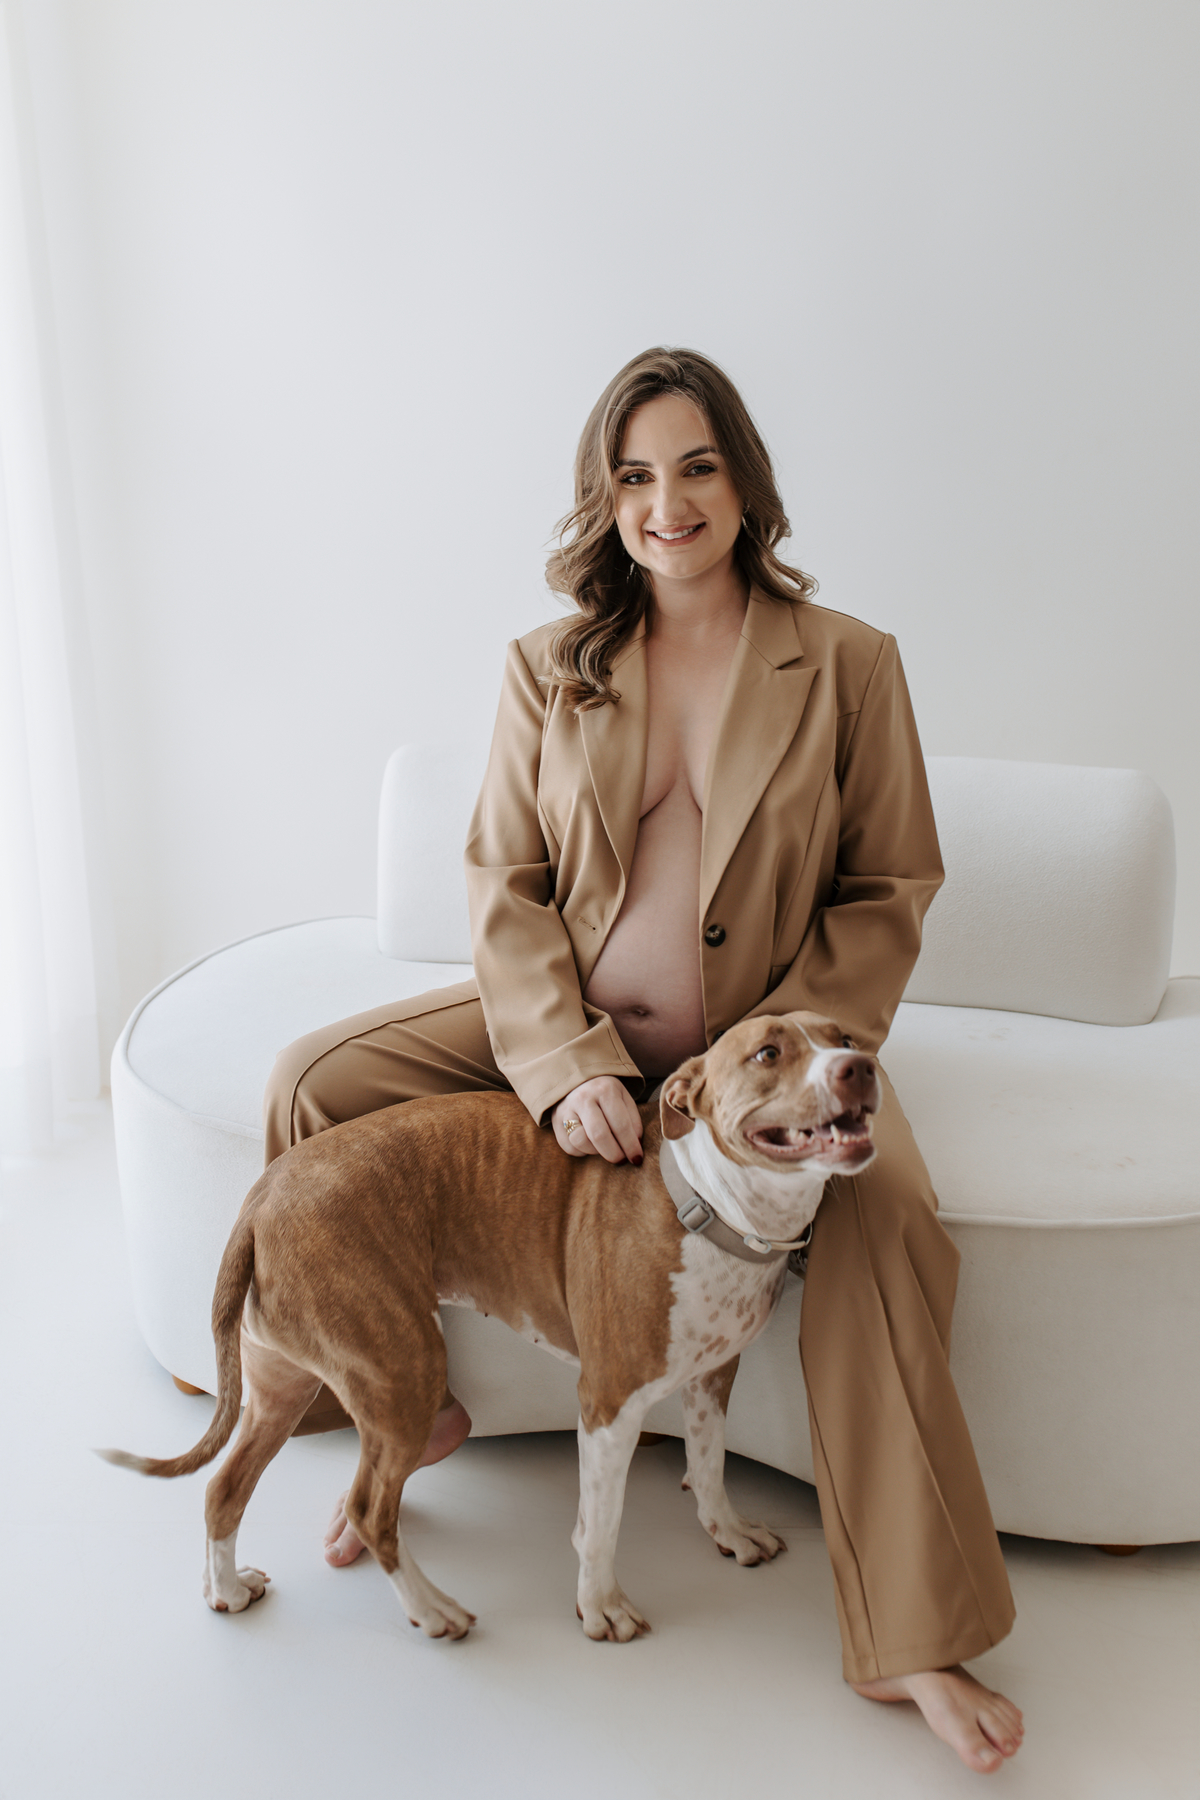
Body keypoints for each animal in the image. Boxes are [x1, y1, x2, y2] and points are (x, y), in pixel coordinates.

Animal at [100, 1010, 879, 1642]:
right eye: (768, 1052)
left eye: (844, 1036)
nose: (860, 1067)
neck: (709, 1204)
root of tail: (260, 1198)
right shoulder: (609, 1404)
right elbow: (602, 1520)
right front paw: (601, 1607)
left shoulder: (714, 1376)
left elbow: (710, 1465)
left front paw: (728, 1531)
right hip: (401, 1368)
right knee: (368, 1507)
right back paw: (432, 1610)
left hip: (283, 1385)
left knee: (225, 1487)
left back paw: (227, 1590)